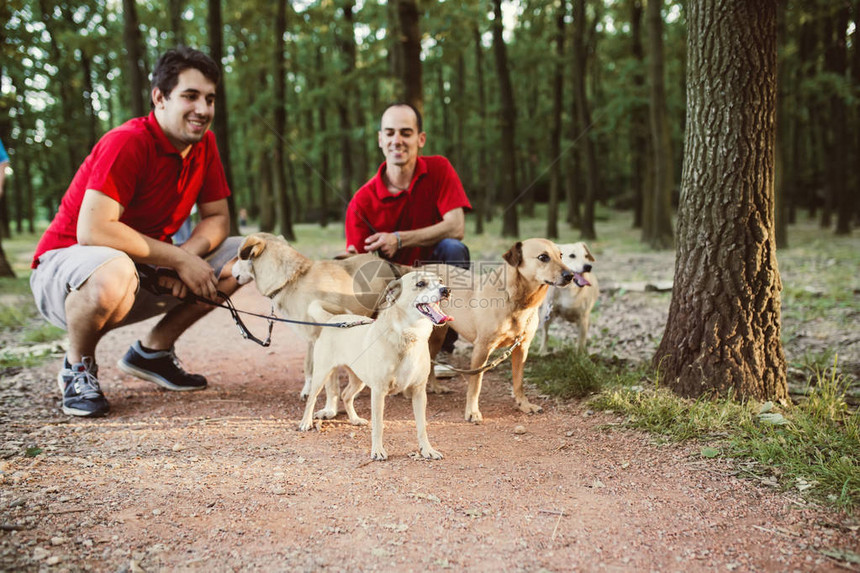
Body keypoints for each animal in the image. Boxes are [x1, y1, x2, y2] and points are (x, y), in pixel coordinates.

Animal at [230, 232, 402, 398]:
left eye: (238, 257)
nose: (230, 271)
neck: (292, 278)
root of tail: (386, 263)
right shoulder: (310, 339)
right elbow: (308, 366)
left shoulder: (318, 336)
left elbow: (321, 374)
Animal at [300, 270, 454, 462]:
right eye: (420, 284)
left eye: (440, 280)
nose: (446, 290)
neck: (407, 336)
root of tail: (334, 318)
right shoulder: (379, 392)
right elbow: (378, 425)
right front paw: (378, 451)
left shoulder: (419, 392)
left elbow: (422, 426)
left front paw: (427, 450)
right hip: (322, 373)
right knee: (312, 399)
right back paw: (305, 422)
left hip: (359, 380)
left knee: (346, 395)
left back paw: (355, 419)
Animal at [422, 239, 588, 422]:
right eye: (543, 257)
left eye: (561, 255)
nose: (570, 276)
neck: (517, 301)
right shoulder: (482, 349)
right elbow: (475, 385)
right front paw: (472, 411)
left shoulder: (522, 348)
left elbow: (519, 381)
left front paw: (524, 404)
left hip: (438, 336)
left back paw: (435, 387)